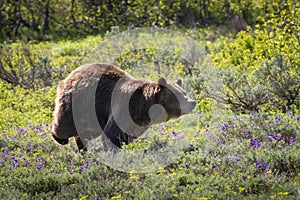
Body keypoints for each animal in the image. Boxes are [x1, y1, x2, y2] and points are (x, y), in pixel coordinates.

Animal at [51, 63, 197, 151]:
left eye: (184, 92)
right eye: (179, 95)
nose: (192, 102)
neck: (143, 108)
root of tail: (72, 73)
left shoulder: (138, 123)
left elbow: (126, 135)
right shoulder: (123, 108)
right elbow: (112, 134)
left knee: (86, 132)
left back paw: (82, 147)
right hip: (78, 102)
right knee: (65, 125)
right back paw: (59, 138)